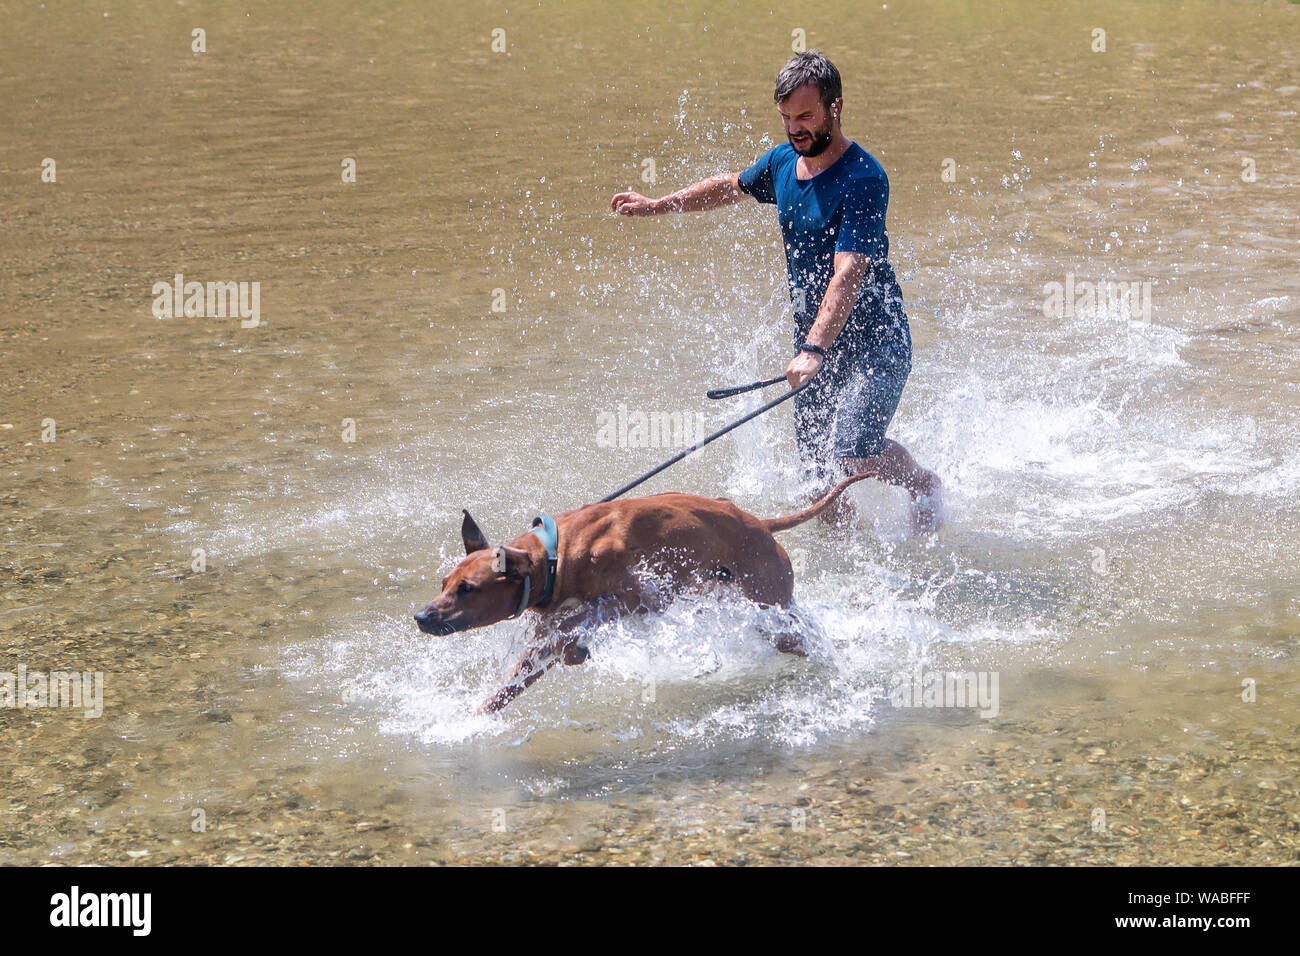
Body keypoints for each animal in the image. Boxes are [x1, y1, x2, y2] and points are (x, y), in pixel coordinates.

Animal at [410, 470, 873, 712]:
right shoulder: (545, 630)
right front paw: (475, 716)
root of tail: (761, 523)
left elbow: (582, 621)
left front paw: (576, 645)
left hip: (769, 606)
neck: (557, 554)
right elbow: (522, 672)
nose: (421, 616)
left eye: (468, 589)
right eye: (445, 584)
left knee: (802, 637)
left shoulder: (644, 597)